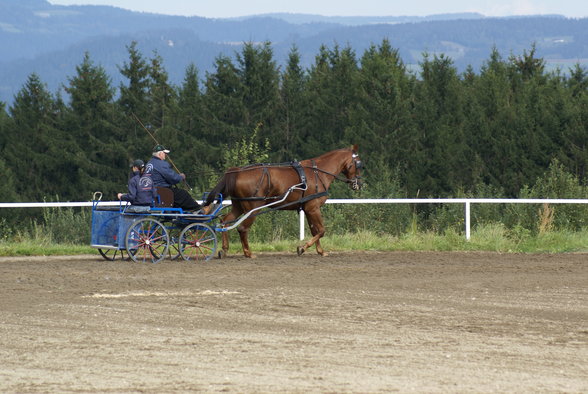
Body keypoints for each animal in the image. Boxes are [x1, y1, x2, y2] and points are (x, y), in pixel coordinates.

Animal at [207, 145, 362, 258]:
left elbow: (314, 230)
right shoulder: (313, 207)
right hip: (253, 208)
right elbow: (321, 230)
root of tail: (236, 171)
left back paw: (224, 249)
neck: (318, 173)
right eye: (359, 164)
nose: (359, 184)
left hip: (239, 206)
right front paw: (302, 248)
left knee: (225, 221)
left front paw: (320, 251)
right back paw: (248, 253)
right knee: (242, 228)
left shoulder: (308, 208)